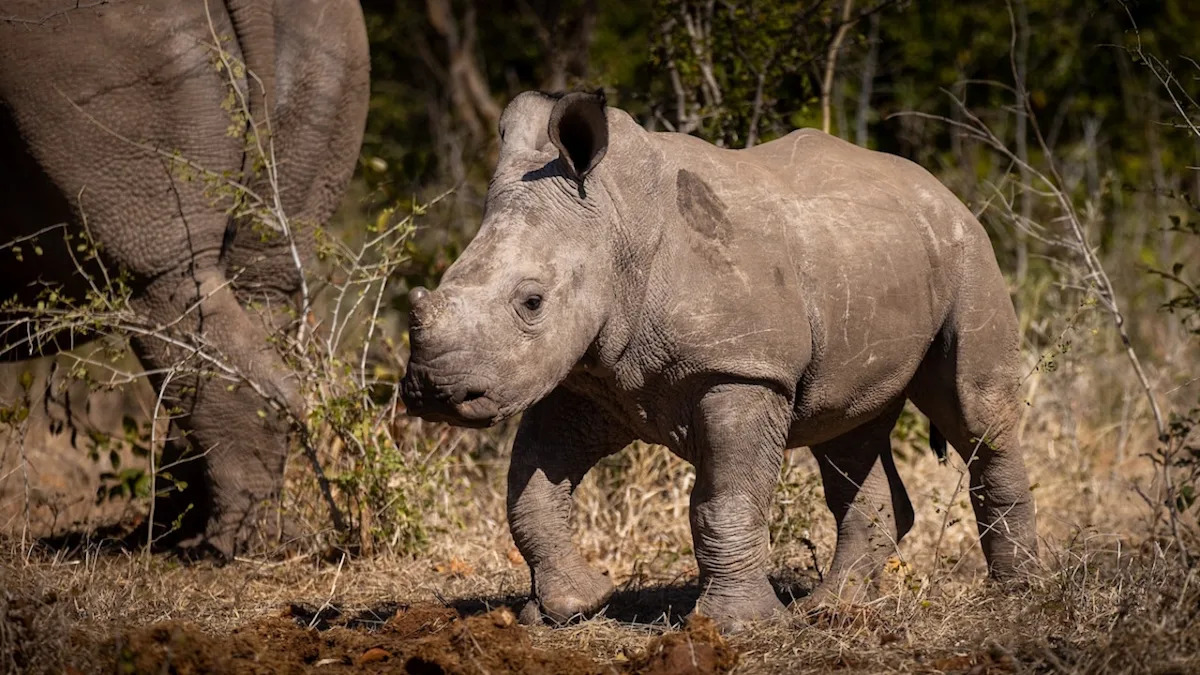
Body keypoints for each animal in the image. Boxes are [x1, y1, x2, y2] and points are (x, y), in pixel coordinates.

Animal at [400, 90, 1037, 631]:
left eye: (531, 302)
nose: (436, 391)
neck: (614, 222)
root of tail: (939, 187)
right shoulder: (590, 379)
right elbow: (530, 491)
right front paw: (573, 607)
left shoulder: (742, 369)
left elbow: (723, 503)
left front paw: (737, 626)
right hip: (866, 258)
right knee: (847, 430)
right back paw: (832, 610)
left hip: (966, 249)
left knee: (975, 412)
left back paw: (1017, 592)